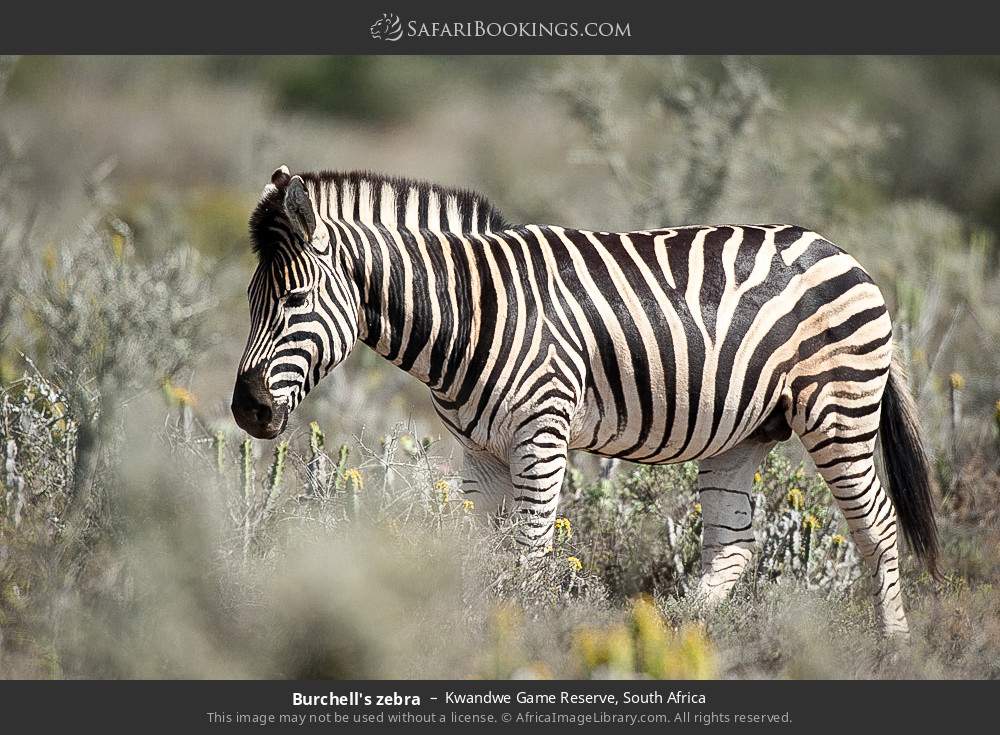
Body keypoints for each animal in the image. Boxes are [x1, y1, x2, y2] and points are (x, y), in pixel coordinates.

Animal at [232, 167, 936, 640]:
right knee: (734, 543)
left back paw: (892, 647)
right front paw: (471, 633)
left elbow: (529, 554)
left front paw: (522, 639)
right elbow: (479, 554)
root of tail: (842, 252)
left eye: (294, 298)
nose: (247, 411)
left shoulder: (541, 433)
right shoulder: (479, 453)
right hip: (746, 432)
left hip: (838, 410)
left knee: (877, 526)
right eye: (249, 301)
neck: (469, 312)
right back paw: (674, 637)